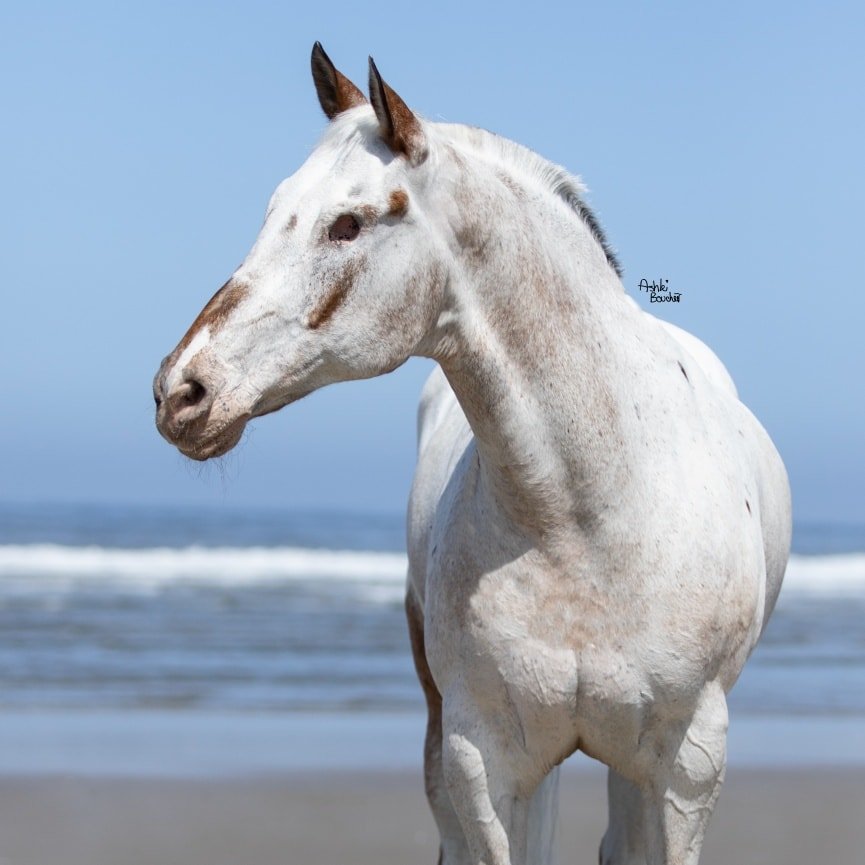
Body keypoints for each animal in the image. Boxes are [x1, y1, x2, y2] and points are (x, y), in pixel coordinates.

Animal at [153, 43, 792, 865]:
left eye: (347, 224)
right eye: (273, 210)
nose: (182, 391)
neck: (585, 515)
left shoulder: (686, 765)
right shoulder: (480, 757)